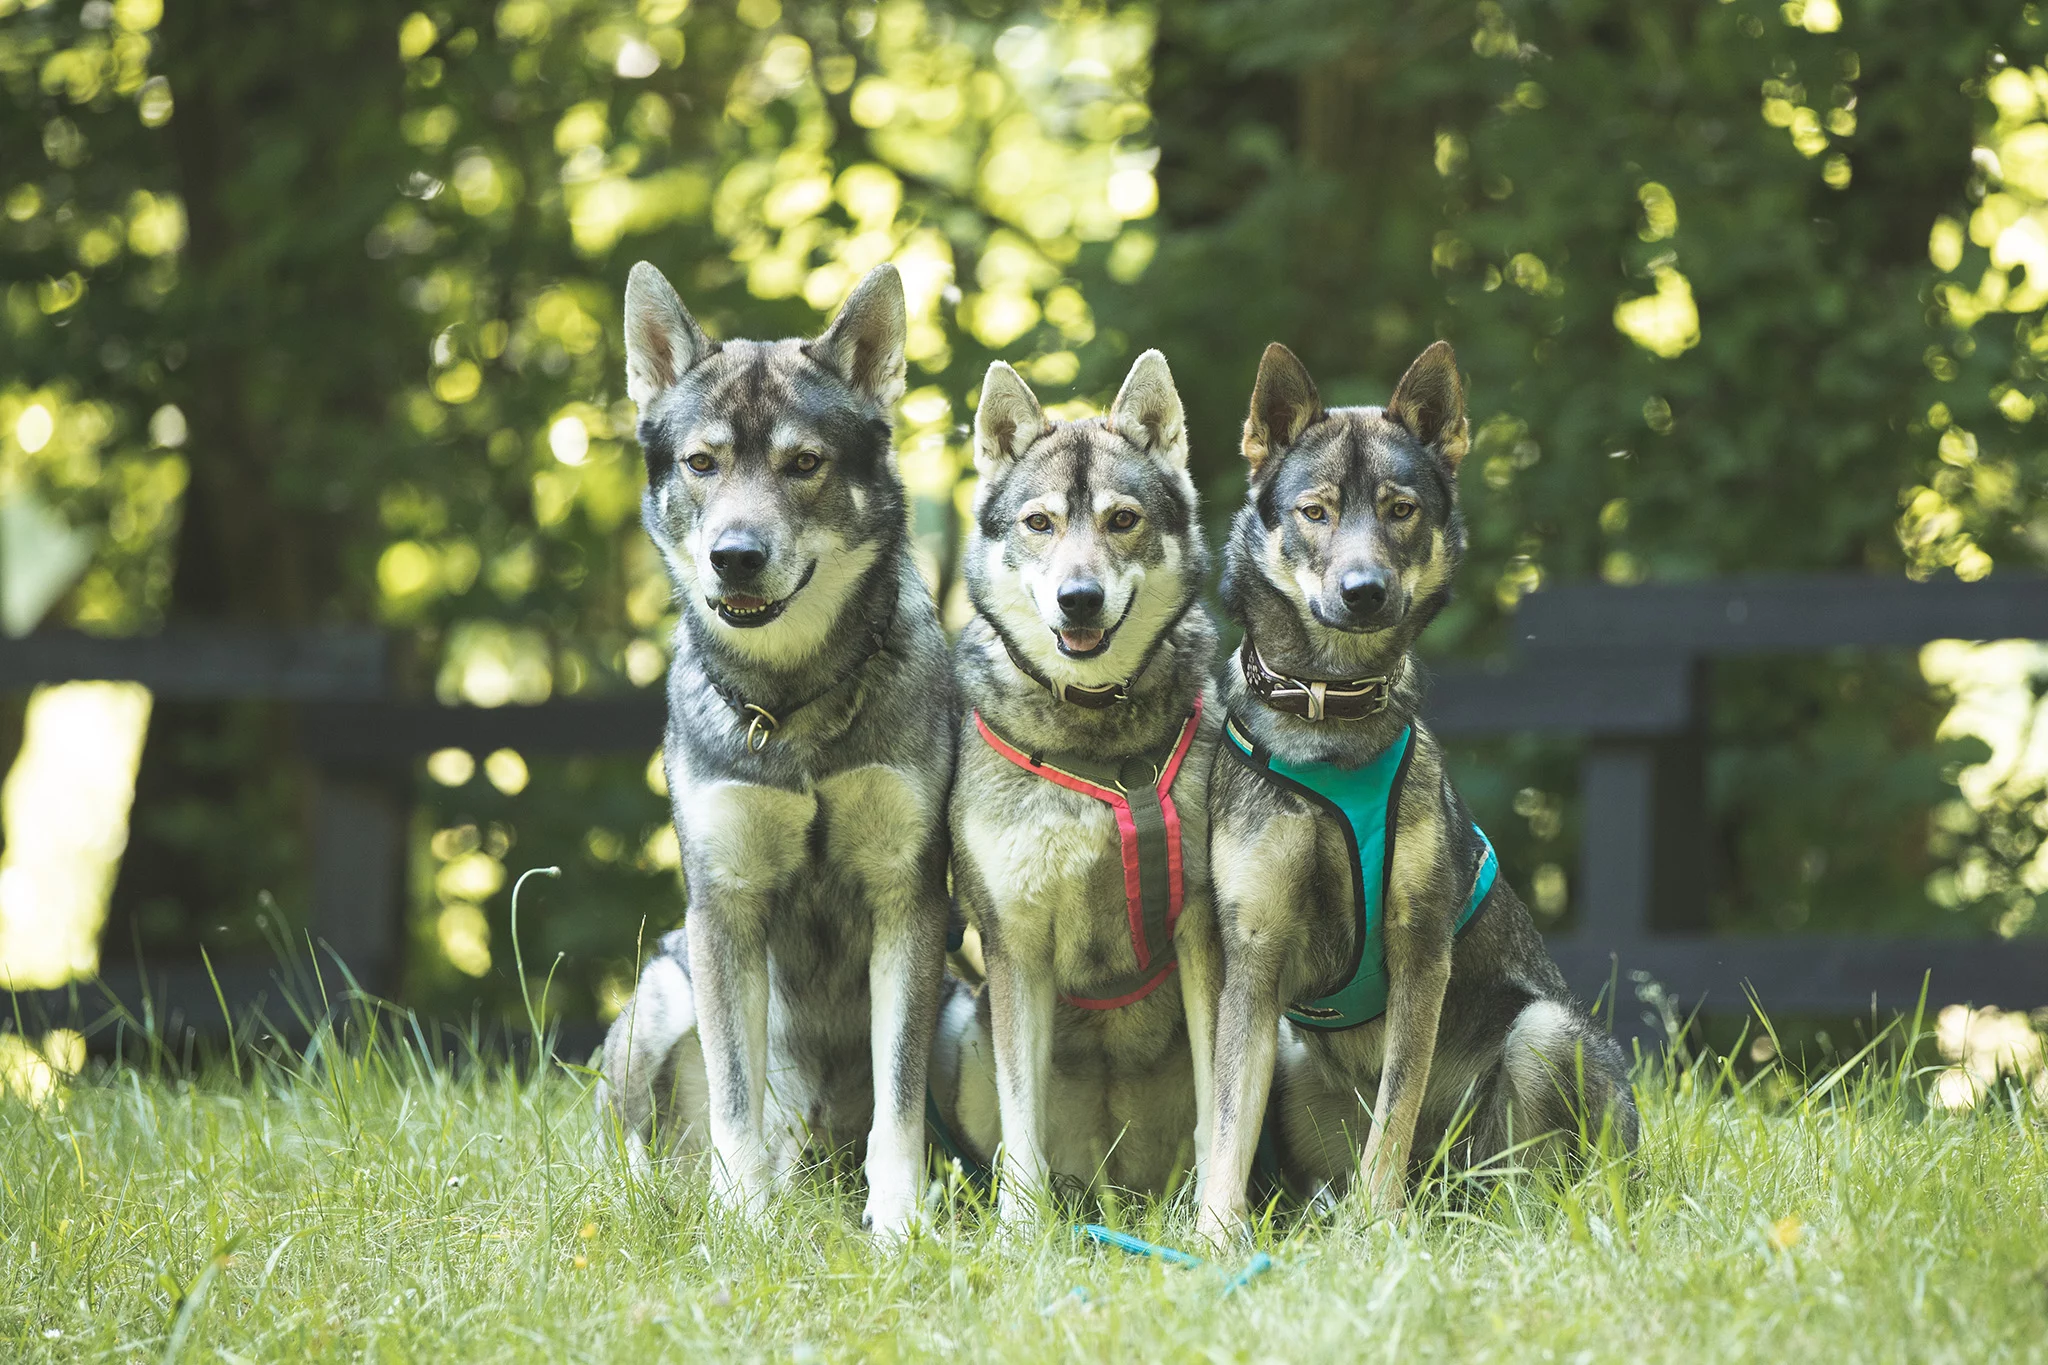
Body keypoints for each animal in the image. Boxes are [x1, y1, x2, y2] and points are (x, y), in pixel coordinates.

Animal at [589, 255, 946, 1236]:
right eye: (702, 463)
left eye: (804, 464)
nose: (736, 555)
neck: (793, 709)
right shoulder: (727, 905)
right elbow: (733, 1100)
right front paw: (742, 1225)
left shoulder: (908, 900)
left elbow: (900, 1103)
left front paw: (899, 1226)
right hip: (663, 990)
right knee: (626, 1143)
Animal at [937, 349, 1220, 1219]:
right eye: (1041, 524)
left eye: (1122, 520)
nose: (1080, 599)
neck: (1100, 745)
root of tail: (1113, 1184)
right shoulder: (1015, 944)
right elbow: (1021, 1130)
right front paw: (1021, 1231)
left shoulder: (1206, 932)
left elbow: (1224, 1103)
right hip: (967, 1033)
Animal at [1196, 339, 1638, 1236]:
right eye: (1316, 511)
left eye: (1400, 509)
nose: (1365, 590)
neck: (1329, 716)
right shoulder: (1251, 958)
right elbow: (1226, 1121)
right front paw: (1214, 1236)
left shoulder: (1419, 947)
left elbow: (1395, 1110)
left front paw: (1374, 1225)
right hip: (1294, 1060)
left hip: (1542, 1037)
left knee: (1525, 1181)